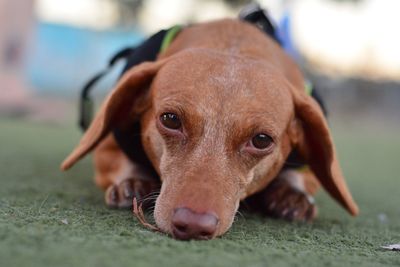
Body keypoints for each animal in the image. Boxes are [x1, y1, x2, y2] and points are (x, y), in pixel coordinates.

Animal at [61, 18, 358, 241]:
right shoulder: (108, 145)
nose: (193, 224)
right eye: (170, 119)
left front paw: (292, 195)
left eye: (262, 140)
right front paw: (132, 182)